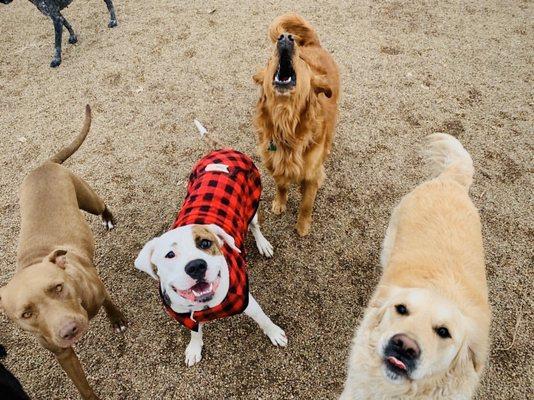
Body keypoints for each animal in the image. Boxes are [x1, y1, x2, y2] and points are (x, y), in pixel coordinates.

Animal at [0, 105, 127, 400]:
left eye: (58, 287)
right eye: (26, 314)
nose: (69, 330)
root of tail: (44, 164)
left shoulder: (100, 289)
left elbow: (109, 303)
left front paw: (117, 320)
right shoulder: (62, 354)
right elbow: (82, 385)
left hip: (87, 198)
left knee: (101, 204)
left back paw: (108, 218)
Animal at [254, 14, 340, 236]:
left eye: (301, 60)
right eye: (270, 60)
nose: (285, 37)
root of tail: (312, 44)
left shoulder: (311, 175)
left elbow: (306, 204)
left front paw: (302, 226)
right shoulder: (275, 165)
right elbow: (281, 187)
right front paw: (279, 203)